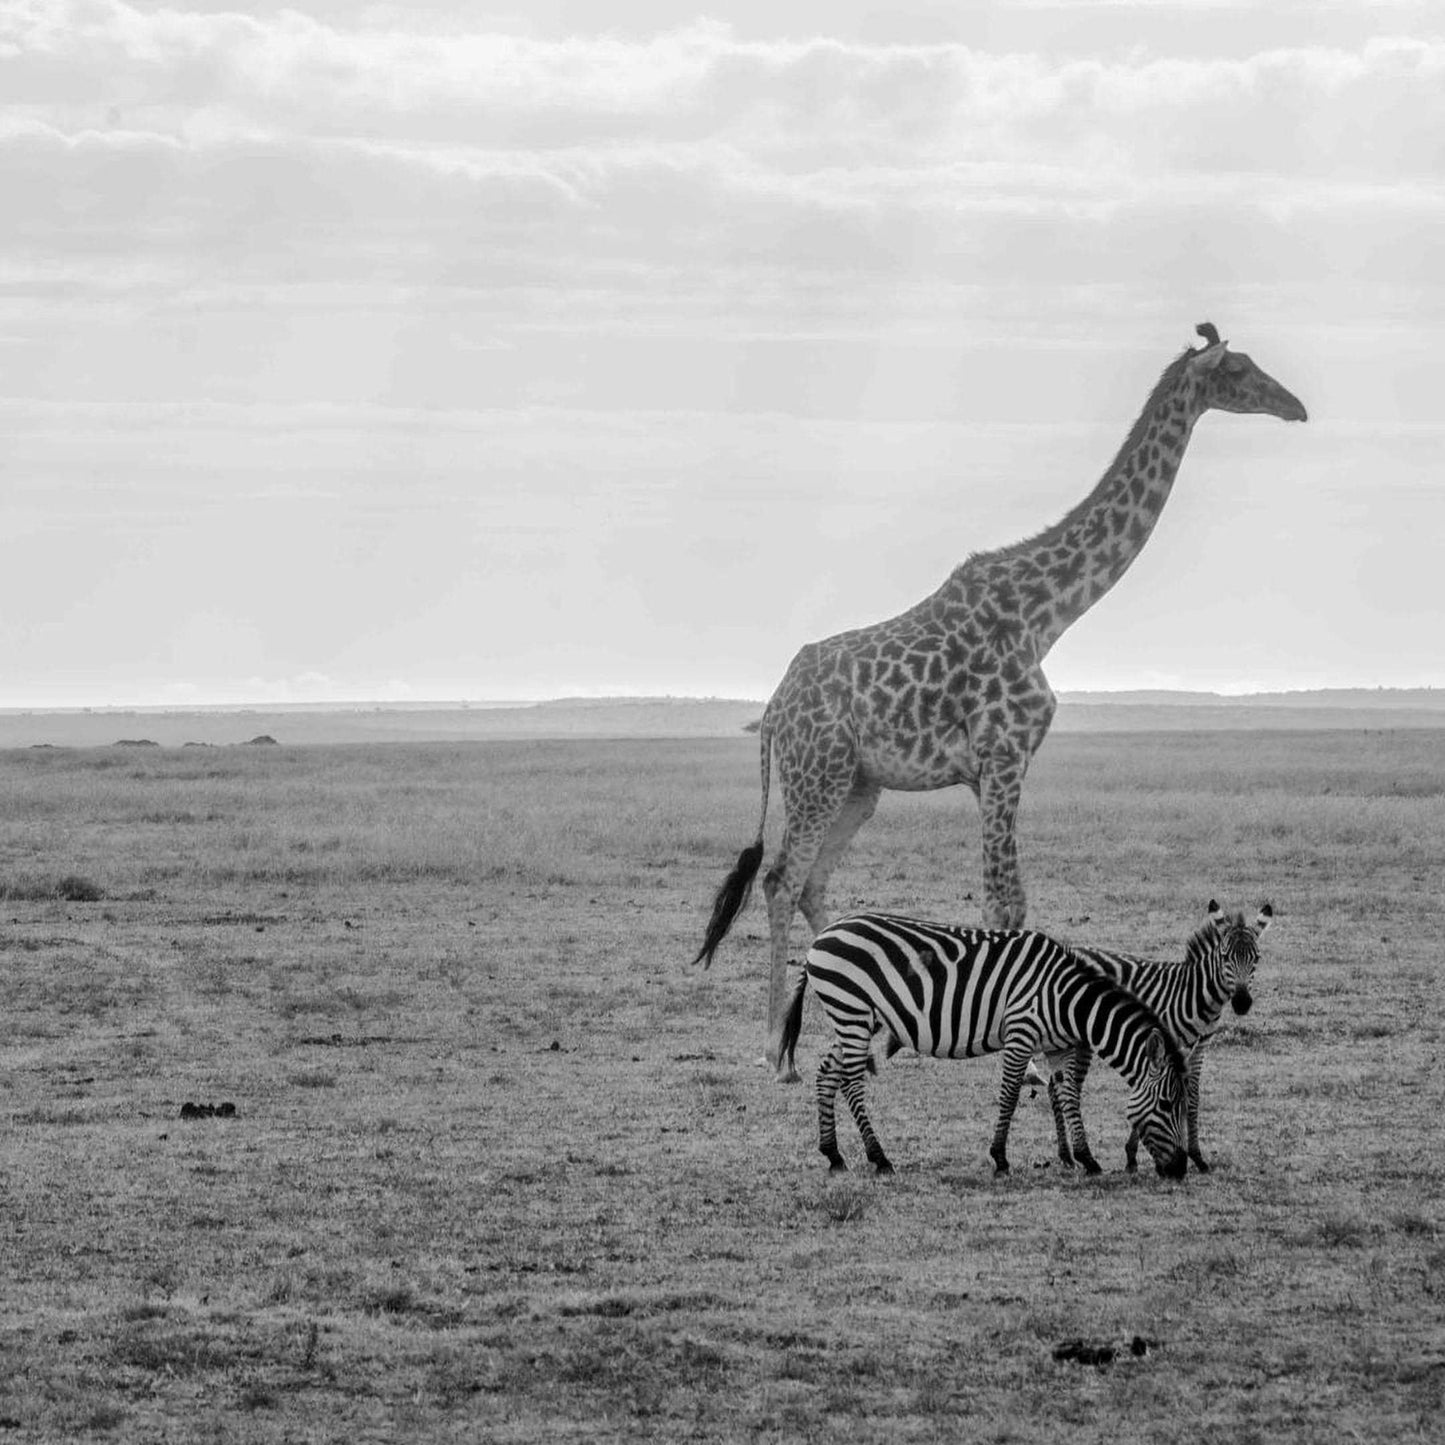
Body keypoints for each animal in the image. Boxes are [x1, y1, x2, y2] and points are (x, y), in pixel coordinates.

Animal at [691, 323, 1307, 1082]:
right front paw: (1036, 1057)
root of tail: (775, 709)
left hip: (859, 786)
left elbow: (1008, 899)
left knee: (810, 885)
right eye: (1243, 371)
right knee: (781, 878)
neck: (1048, 612)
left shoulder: (994, 767)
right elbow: (1005, 902)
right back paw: (777, 1051)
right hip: (818, 774)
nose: (1297, 407)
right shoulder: (1004, 755)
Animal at [779, 912, 1191, 1179]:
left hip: (857, 1019)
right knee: (850, 1081)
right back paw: (879, 1157)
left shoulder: (1057, 1048)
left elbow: (1070, 1095)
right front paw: (1000, 1158)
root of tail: (820, 937)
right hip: (851, 1010)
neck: (1065, 999)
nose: (1180, 1169)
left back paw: (833, 1154)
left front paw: (1087, 1159)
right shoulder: (1020, 1033)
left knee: (827, 1072)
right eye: (1167, 1104)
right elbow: (1009, 1094)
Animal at [1037, 901, 1273, 1175]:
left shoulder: (1199, 1047)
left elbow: (1192, 1097)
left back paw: (1066, 1154)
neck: (1195, 994)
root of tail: (1071, 949)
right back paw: (1072, 1154)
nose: (1242, 1002)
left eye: (1256, 958)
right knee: (1067, 1086)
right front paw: (1133, 1156)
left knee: (1055, 1085)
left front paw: (1197, 1157)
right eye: (1225, 957)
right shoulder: (1165, 1044)